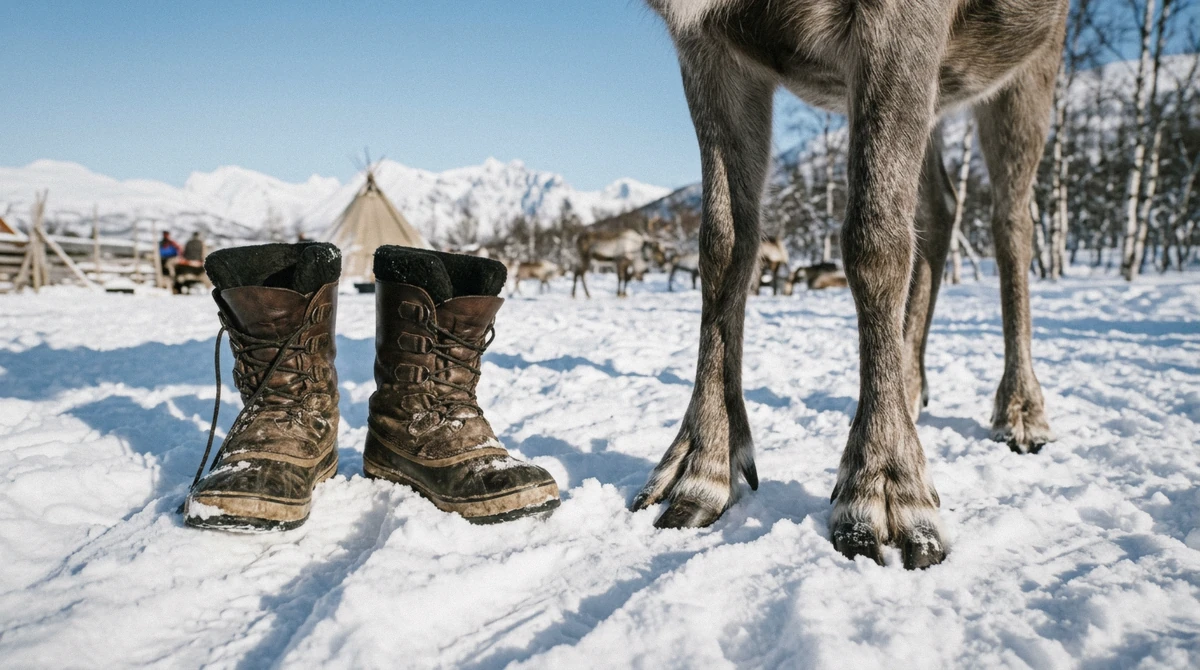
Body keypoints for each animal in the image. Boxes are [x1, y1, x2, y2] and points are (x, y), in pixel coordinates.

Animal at [631, 0, 1066, 570]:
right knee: (939, 207)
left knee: (1012, 220)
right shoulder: (706, 44)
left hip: (1030, 62)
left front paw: (884, 487)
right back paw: (911, 389)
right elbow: (723, 244)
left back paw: (1021, 410)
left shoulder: (903, 21)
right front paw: (702, 466)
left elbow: (872, 235)